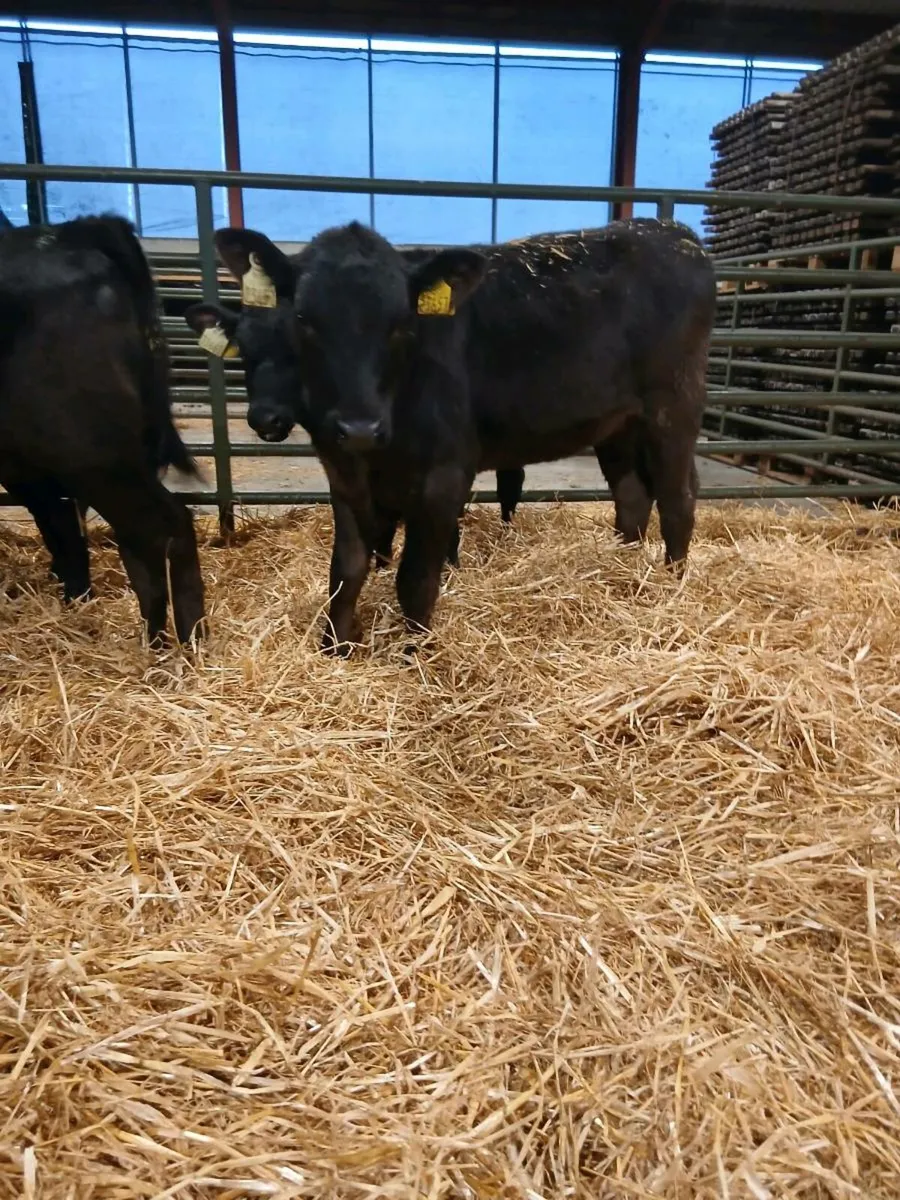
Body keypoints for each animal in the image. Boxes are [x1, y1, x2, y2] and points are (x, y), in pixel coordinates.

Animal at [187, 218, 715, 655]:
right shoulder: (341, 471)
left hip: (673, 407)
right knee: (632, 496)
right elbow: (347, 569)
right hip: (617, 424)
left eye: (402, 323)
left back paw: (672, 587)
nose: (359, 427)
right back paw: (620, 569)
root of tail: (672, 231)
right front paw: (333, 649)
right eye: (304, 320)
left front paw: (414, 657)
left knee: (678, 499)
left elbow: (416, 579)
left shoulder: (445, 475)